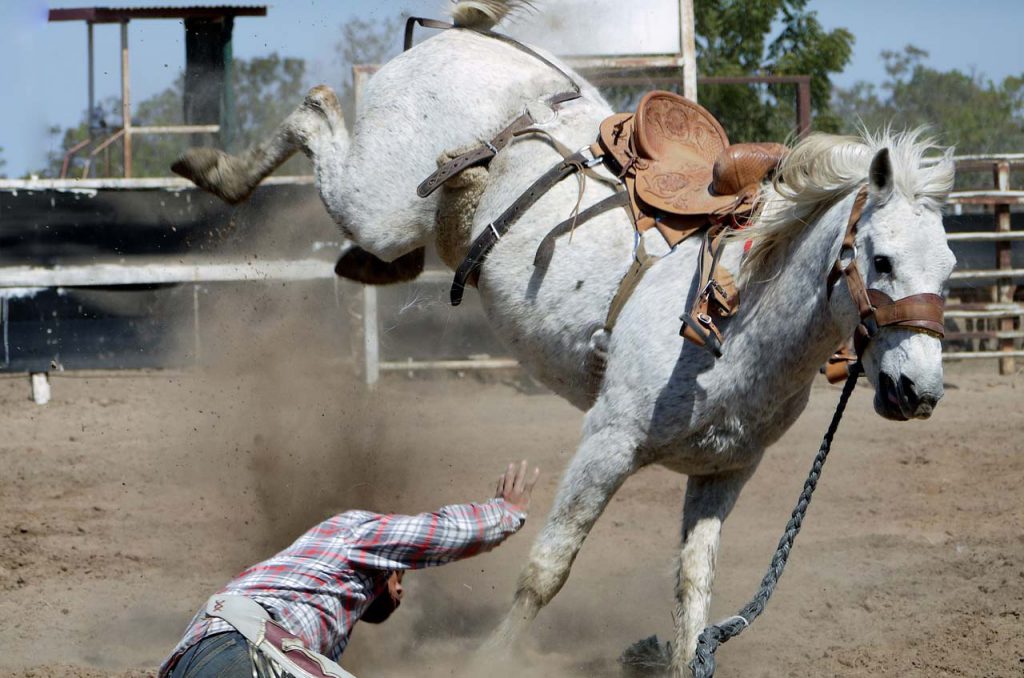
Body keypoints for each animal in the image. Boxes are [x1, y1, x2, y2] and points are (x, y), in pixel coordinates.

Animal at [172, 0, 954, 671]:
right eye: (882, 259)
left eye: (948, 268)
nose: (918, 390)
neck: (738, 318)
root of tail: (473, 37)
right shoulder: (607, 443)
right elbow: (548, 568)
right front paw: (489, 662)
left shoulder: (724, 472)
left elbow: (692, 593)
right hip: (380, 200)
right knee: (314, 112)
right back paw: (213, 168)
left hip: (405, 219)